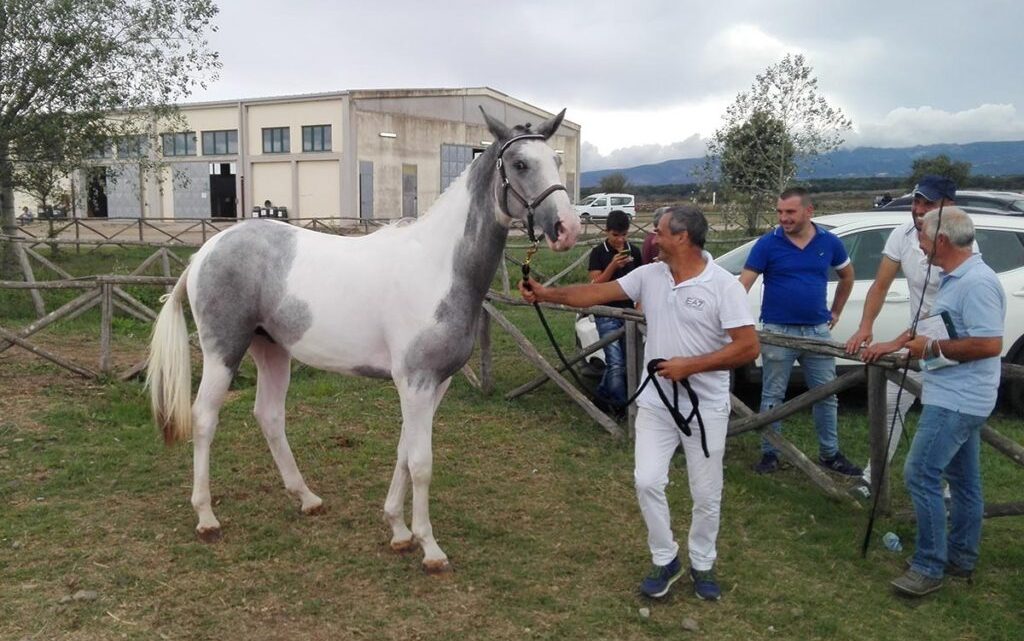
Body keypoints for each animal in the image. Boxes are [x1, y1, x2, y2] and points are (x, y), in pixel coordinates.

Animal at [147, 108, 581, 569]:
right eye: (520, 164)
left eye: (556, 161)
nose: (567, 228)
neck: (438, 266)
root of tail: (204, 252)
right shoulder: (415, 382)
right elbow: (421, 462)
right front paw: (429, 547)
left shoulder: (436, 383)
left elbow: (404, 452)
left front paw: (398, 530)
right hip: (224, 352)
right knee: (204, 419)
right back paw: (206, 518)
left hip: (272, 351)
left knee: (269, 416)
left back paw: (307, 498)